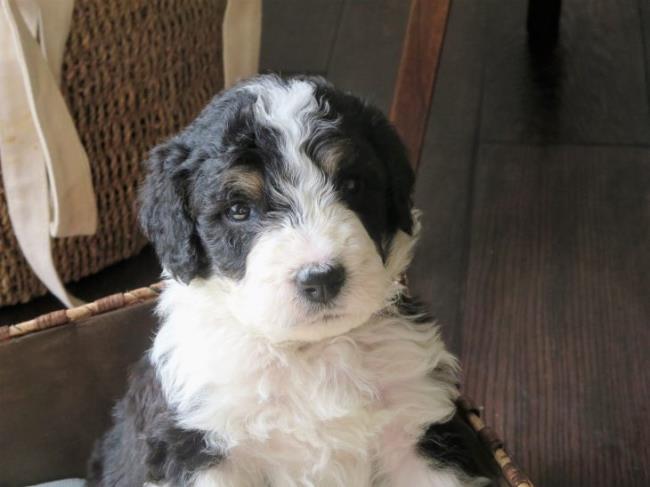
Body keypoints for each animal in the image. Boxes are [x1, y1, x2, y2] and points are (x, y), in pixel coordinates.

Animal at [87, 74, 496, 486]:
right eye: (238, 209)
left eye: (352, 185)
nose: (322, 279)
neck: (310, 352)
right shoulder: (199, 445)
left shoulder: (418, 420)